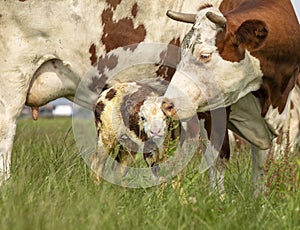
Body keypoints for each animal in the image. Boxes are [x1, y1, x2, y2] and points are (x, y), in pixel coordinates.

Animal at [162, 0, 300, 196]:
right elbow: (218, 156)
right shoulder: (211, 110)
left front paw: (258, 198)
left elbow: (261, 161)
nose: (167, 104)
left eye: (205, 55)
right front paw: (217, 198)